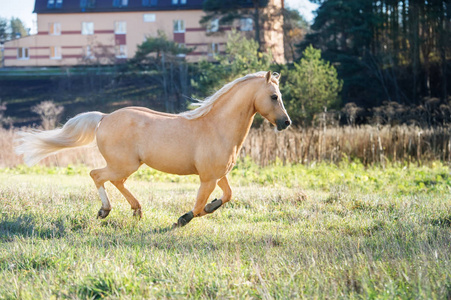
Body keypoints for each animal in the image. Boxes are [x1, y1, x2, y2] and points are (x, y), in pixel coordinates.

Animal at [15, 71, 292, 227]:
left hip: (127, 165)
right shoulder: (207, 178)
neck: (217, 127)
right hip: (123, 164)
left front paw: (211, 207)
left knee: (115, 181)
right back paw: (105, 211)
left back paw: (136, 211)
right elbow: (198, 205)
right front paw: (183, 219)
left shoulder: (218, 175)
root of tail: (104, 117)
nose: (286, 123)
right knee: (97, 175)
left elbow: (227, 196)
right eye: (274, 96)